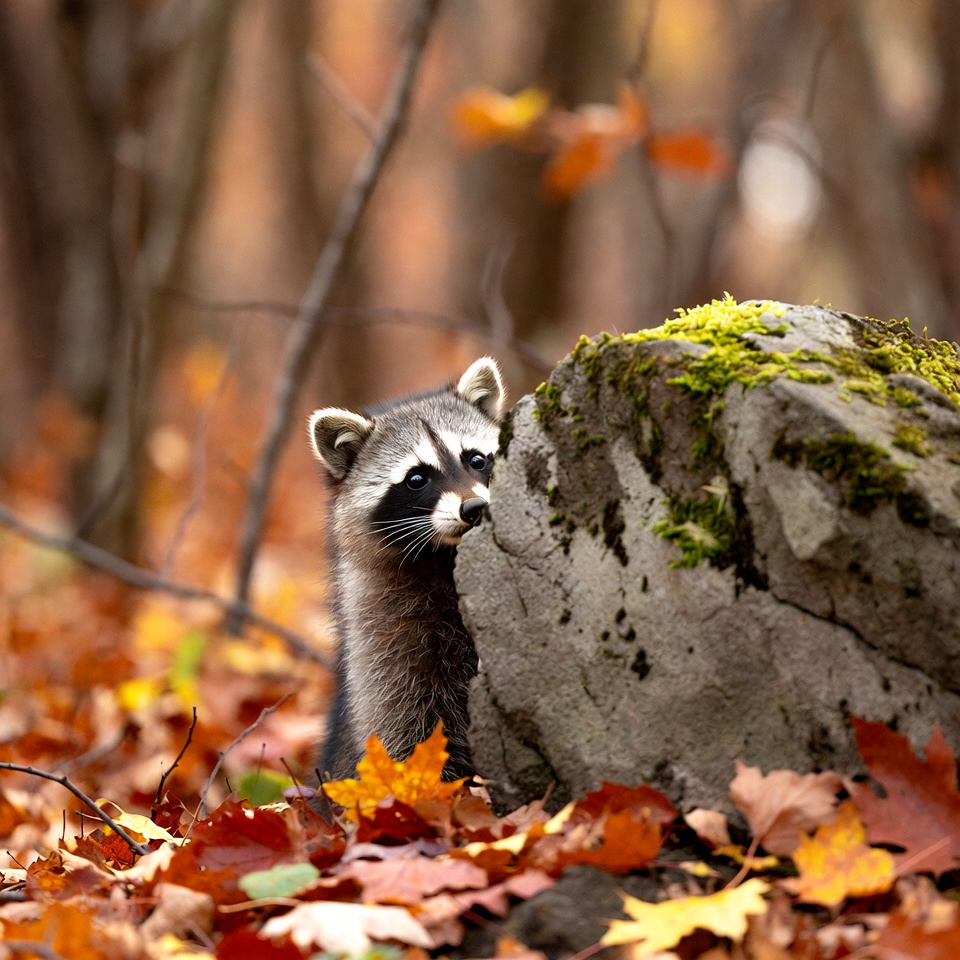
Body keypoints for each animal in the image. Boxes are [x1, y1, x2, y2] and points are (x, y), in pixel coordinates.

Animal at [308, 357, 505, 781]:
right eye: (416, 478)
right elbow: (403, 725)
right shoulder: (385, 638)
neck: (444, 559)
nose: (474, 508)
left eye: (476, 459)